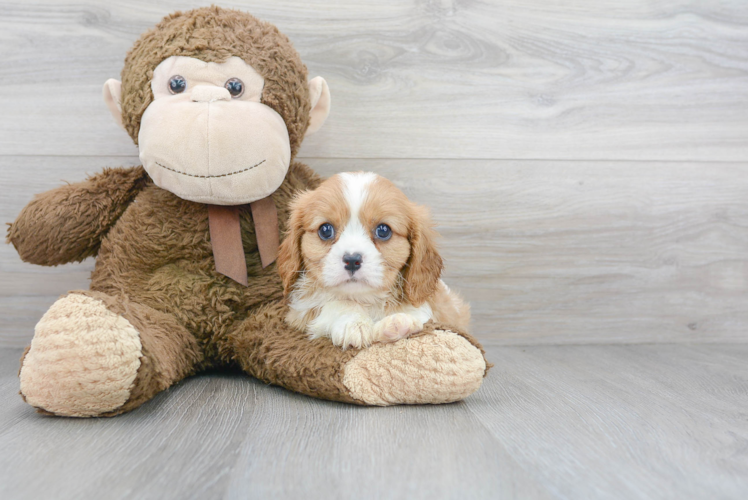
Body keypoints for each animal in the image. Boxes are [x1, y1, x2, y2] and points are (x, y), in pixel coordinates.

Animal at [278, 172, 470, 348]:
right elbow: (336, 303)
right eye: (325, 230)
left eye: (383, 230)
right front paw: (354, 323)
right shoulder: (299, 314)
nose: (352, 260)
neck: (366, 299)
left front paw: (399, 322)